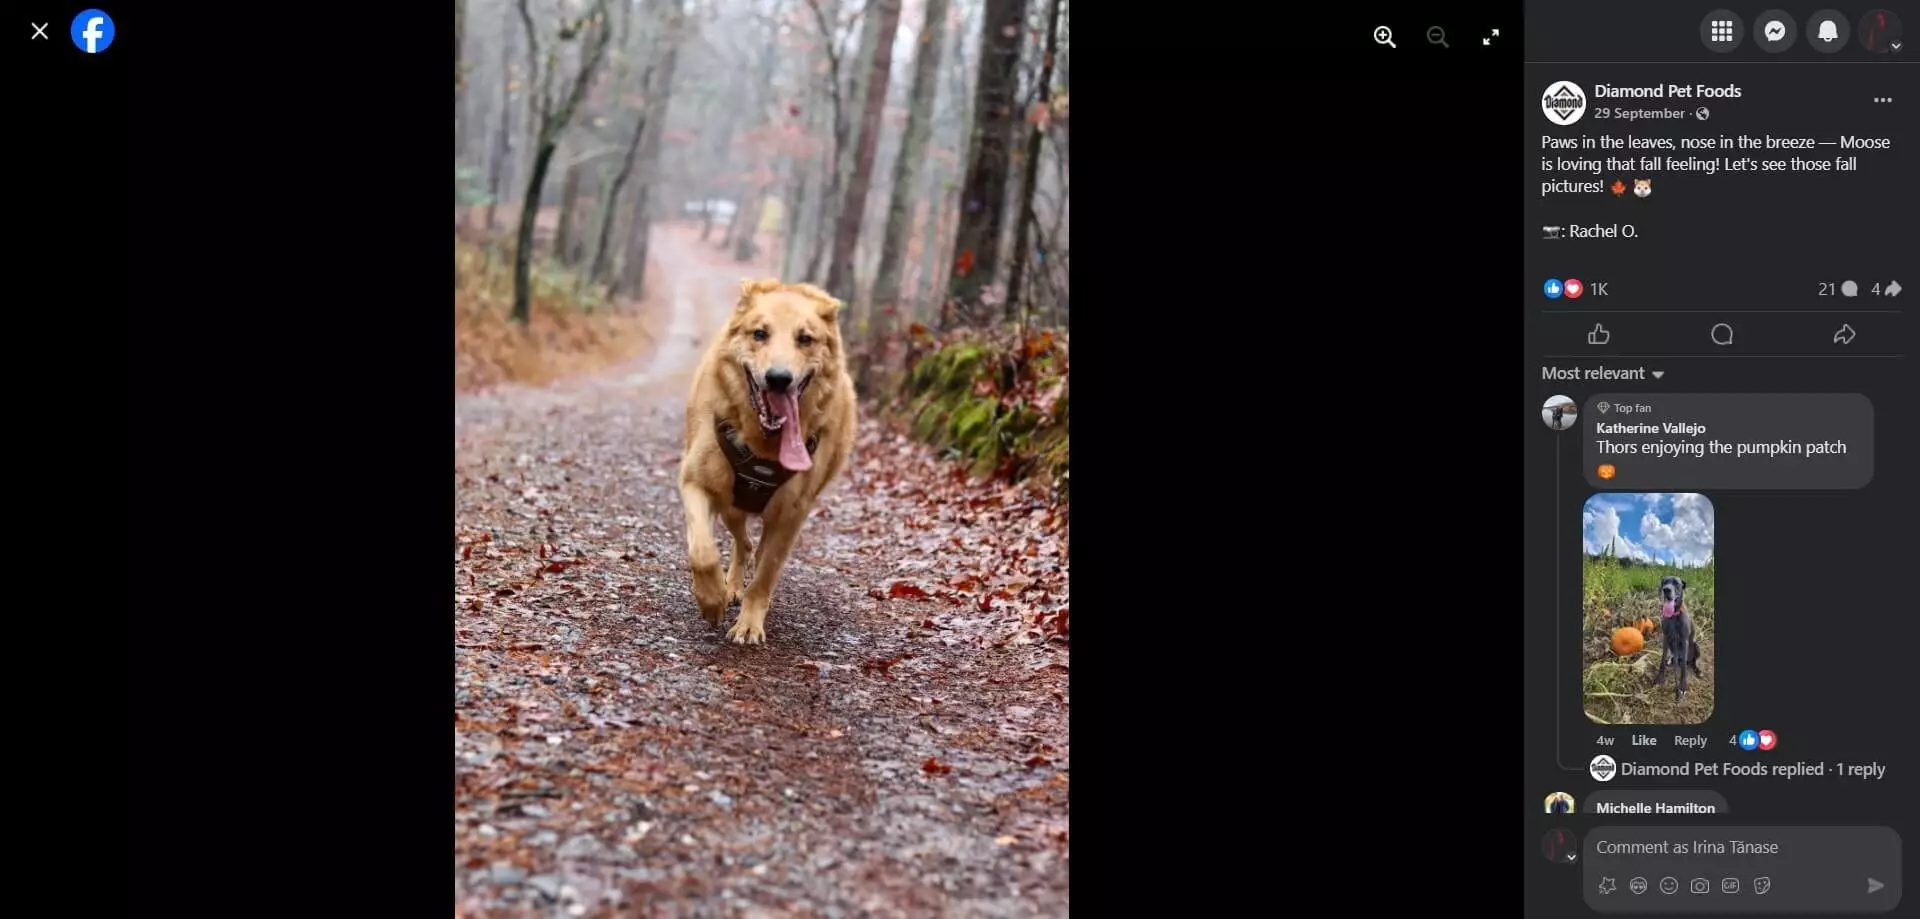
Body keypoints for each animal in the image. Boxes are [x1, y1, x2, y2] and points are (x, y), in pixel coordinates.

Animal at [1651, 575, 1712, 706]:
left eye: (1676, 583)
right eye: (1665, 582)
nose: (1666, 589)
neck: (1674, 615)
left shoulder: (1684, 641)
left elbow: (1683, 667)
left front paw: (1682, 686)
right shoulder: (1666, 637)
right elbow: (1662, 659)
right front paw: (1660, 677)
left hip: (1695, 645)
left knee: (1693, 661)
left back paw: (1697, 670)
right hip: (1672, 644)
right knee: (1675, 657)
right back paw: (1671, 660)